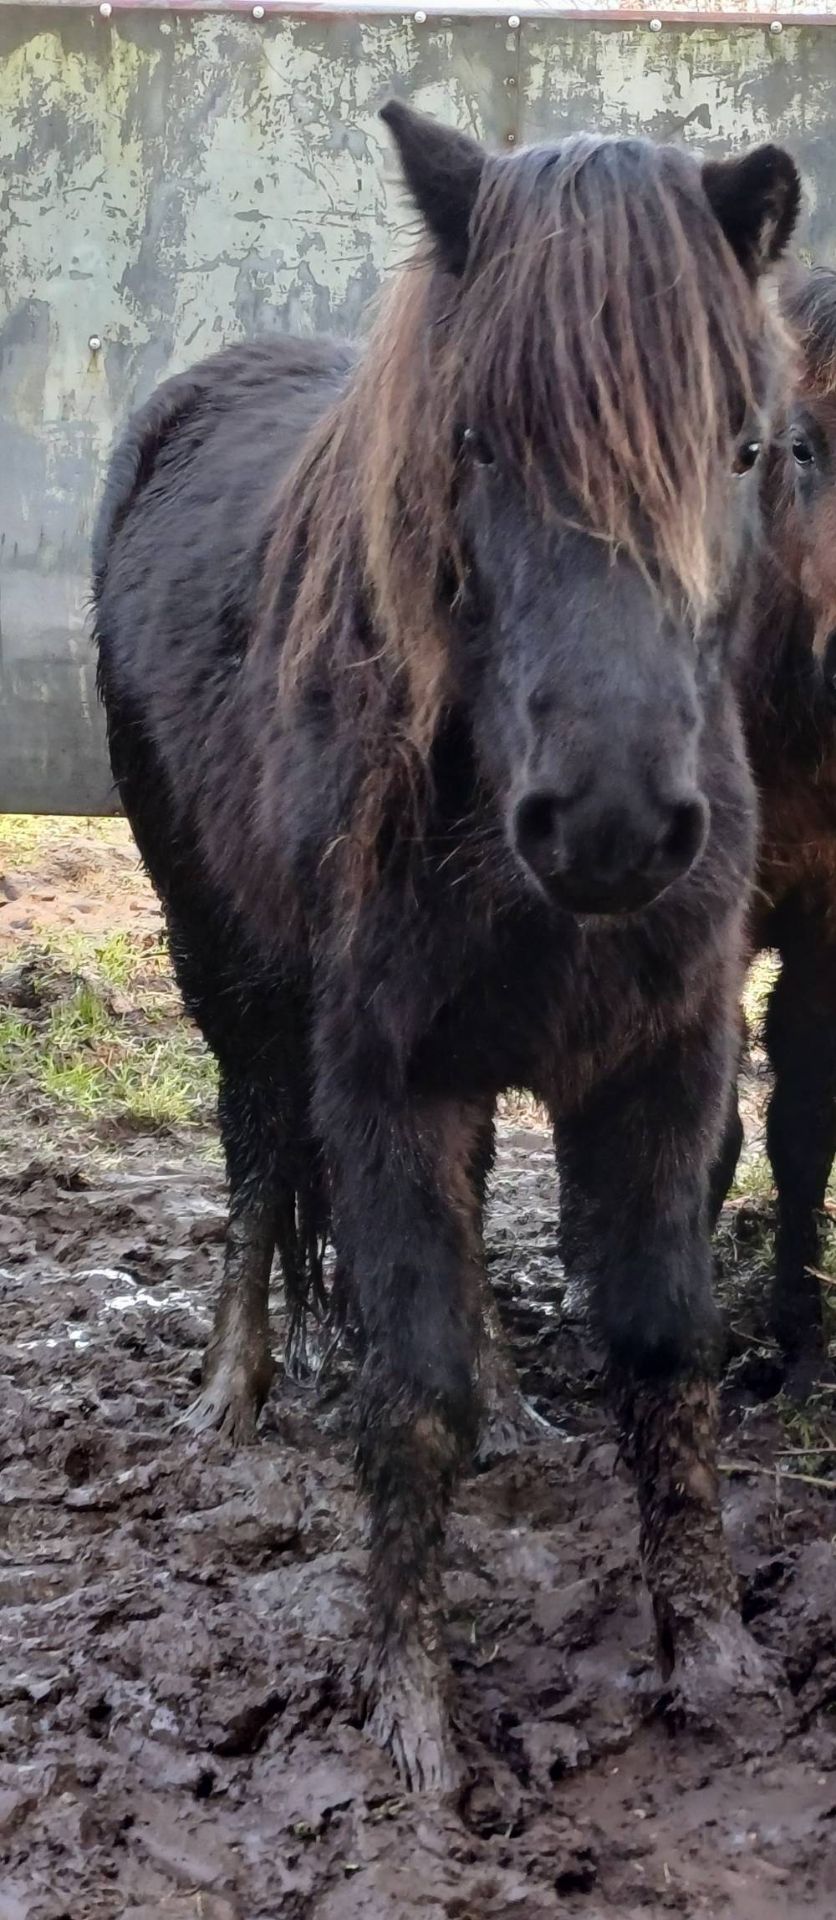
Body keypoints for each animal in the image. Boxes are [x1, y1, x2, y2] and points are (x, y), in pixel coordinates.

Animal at [91, 105, 799, 1781]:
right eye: (474, 441)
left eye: (748, 448)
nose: (612, 822)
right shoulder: (383, 1073)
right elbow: (408, 1396)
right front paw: (412, 1727)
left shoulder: (670, 1064)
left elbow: (662, 1355)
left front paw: (717, 1663)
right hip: (226, 967)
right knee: (255, 1154)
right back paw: (228, 1394)